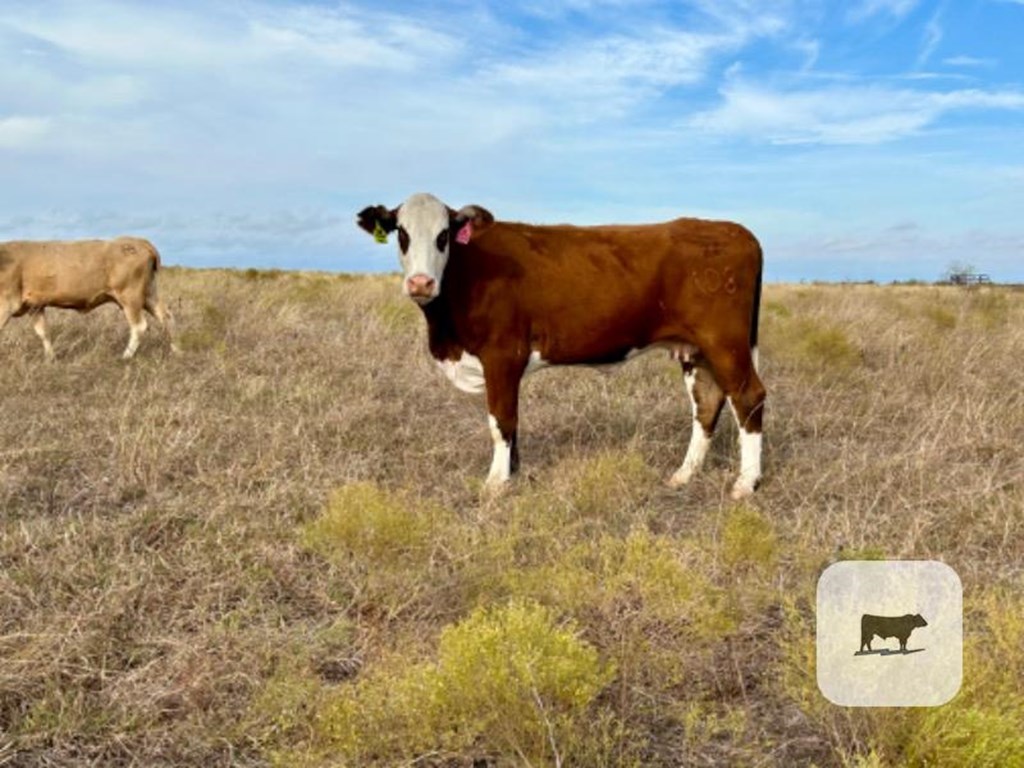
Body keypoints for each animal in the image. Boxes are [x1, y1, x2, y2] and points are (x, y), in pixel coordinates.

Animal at [0, 237, 179, 360]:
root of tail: (139, 242)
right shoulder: (35, 305)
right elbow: (43, 332)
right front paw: (51, 358)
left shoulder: (7, 303)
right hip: (149, 294)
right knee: (166, 317)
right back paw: (177, 351)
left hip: (130, 296)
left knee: (139, 326)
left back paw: (125, 357)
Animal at [356, 193, 765, 499]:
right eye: (401, 233)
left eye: (443, 235)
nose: (420, 283)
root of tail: (734, 230)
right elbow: (511, 423)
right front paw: (514, 473)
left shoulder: (502, 354)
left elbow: (501, 420)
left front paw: (496, 483)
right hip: (696, 349)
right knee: (707, 403)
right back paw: (684, 475)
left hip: (724, 342)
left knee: (749, 397)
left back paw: (745, 483)